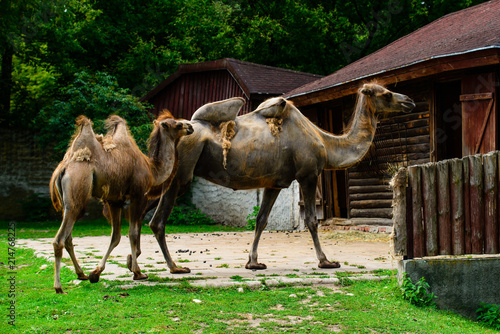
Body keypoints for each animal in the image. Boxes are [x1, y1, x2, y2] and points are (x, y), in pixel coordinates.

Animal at [49, 111, 193, 292]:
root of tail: (63, 168)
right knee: (59, 239)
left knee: (68, 238)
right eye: (178, 124)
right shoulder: (138, 197)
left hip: (67, 203)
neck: (153, 171)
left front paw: (95, 273)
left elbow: (115, 237)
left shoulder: (114, 201)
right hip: (77, 191)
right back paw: (59, 287)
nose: (190, 126)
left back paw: (81, 274)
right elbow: (132, 234)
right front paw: (138, 273)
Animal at [150, 81, 416, 274]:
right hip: (180, 175)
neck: (326, 144)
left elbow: (261, 220)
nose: (410, 101)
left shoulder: (274, 183)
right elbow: (311, 220)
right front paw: (326, 261)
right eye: (387, 94)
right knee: (157, 220)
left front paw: (253, 263)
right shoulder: (309, 174)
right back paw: (175, 268)